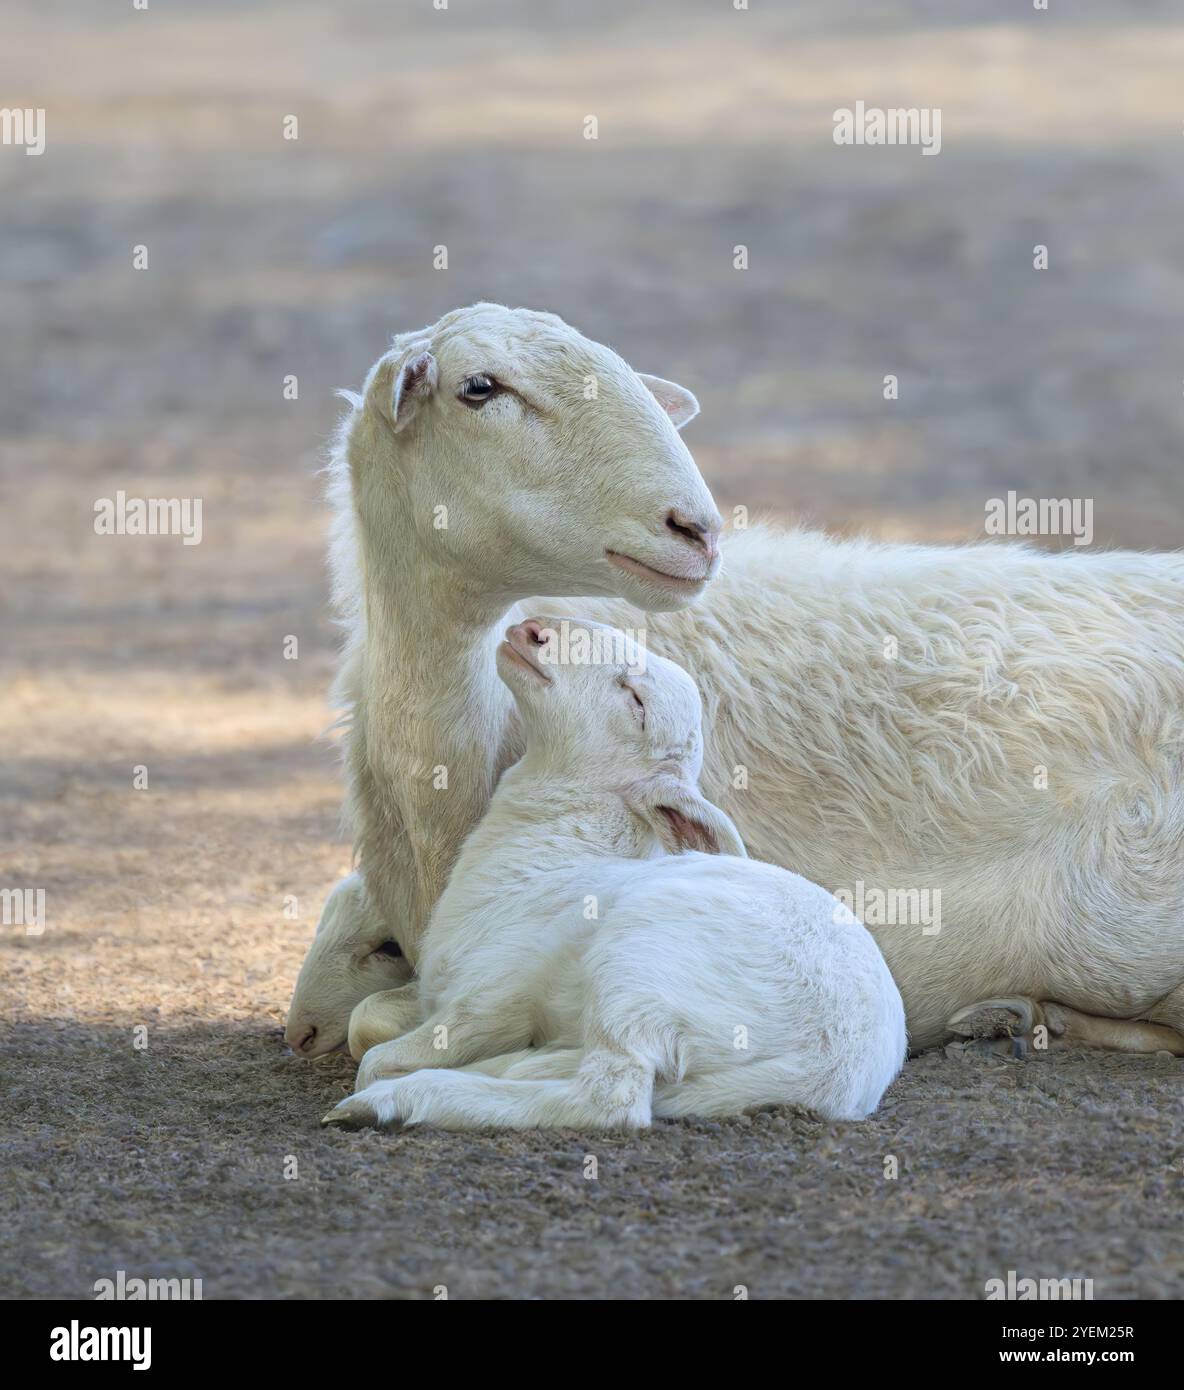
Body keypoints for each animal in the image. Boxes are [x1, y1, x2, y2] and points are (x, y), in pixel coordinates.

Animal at [323, 619, 906, 1128]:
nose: (532, 631)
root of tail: (832, 1073)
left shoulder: (490, 997)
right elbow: (363, 1020)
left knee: (609, 1099)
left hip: (641, 969)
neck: (554, 850)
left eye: (638, 703)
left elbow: (376, 1056)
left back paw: (391, 1102)